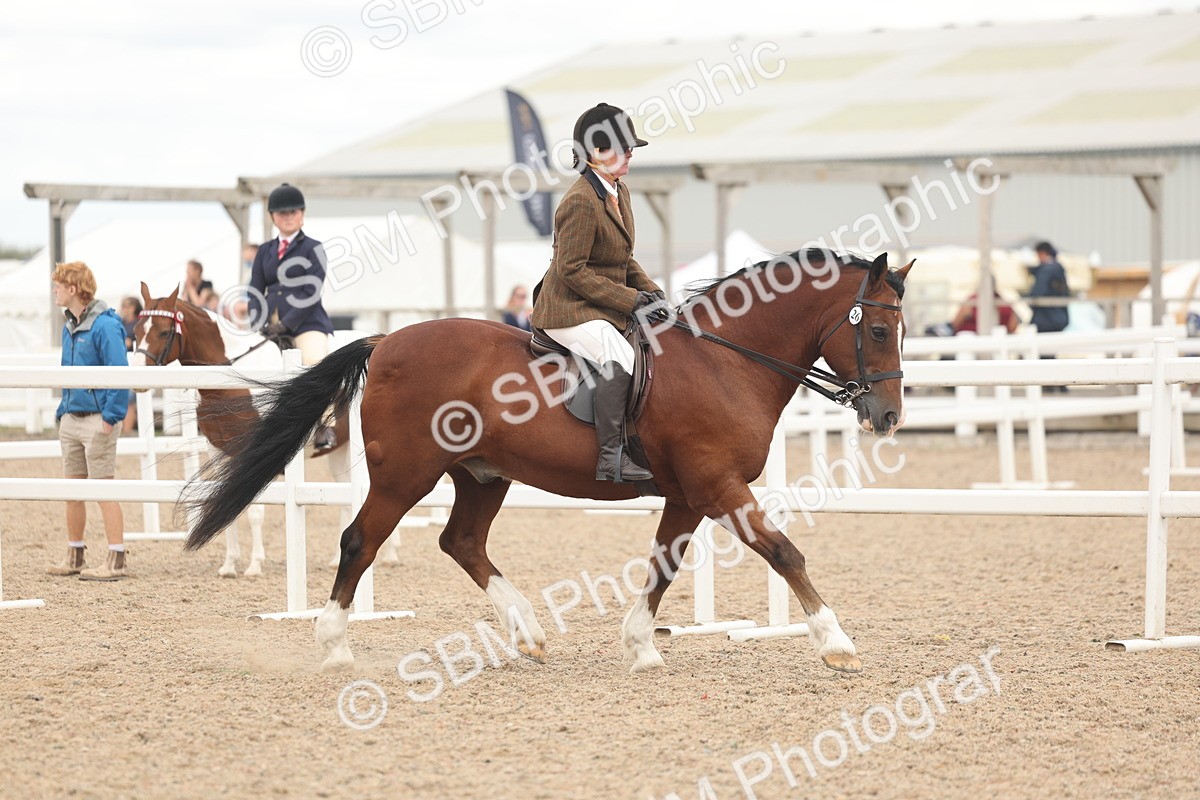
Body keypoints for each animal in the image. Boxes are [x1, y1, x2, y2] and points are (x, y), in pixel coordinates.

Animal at [132, 283, 398, 576]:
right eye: (136, 330)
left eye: (163, 332)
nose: (137, 378)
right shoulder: (218, 451)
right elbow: (225, 500)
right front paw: (229, 564)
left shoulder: (250, 452)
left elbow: (253, 511)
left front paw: (254, 565)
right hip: (340, 452)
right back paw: (335, 559)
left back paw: (391, 555)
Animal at [185, 249, 912, 674]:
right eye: (877, 329)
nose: (886, 417)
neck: (725, 361)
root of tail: (387, 338)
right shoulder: (717, 486)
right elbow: (785, 552)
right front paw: (836, 644)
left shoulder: (690, 493)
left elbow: (663, 565)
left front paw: (641, 646)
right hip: (404, 476)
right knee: (361, 541)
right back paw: (335, 646)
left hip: (482, 474)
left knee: (462, 541)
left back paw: (528, 632)